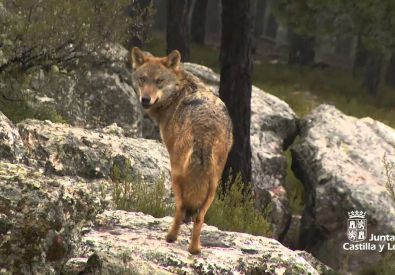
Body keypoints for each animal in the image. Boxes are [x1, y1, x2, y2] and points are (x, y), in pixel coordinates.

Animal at [130, 47, 235, 254]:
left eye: (159, 81)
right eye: (142, 79)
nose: (145, 99)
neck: (177, 93)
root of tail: (206, 128)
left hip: (176, 174)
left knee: (180, 209)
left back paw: (170, 237)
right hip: (213, 185)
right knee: (199, 217)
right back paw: (195, 249)